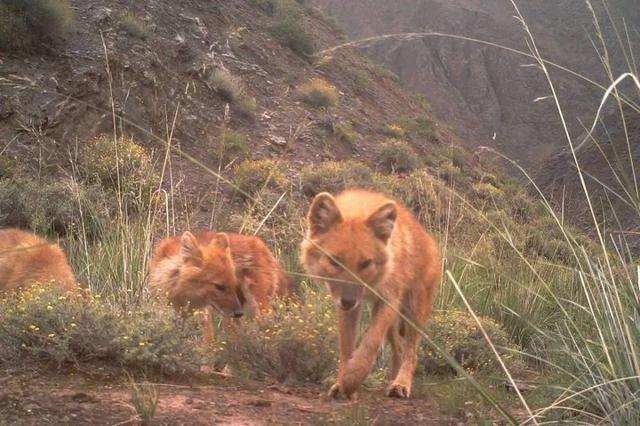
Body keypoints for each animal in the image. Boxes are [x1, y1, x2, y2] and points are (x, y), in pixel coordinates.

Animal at [150, 231, 292, 342]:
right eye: (219, 286)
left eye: (232, 285)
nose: (239, 313)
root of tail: (261, 244)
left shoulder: (204, 320)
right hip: (231, 318)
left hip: (258, 311)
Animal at [300, 190, 440, 400]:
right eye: (335, 261)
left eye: (365, 263)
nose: (348, 301)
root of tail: (429, 239)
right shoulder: (347, 307)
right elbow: (346, 346)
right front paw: (341, 383)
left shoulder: (388, 299)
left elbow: (370, 342)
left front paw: (353, 378)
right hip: (391, 321)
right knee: (399, 349)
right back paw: (391, 382)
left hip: (414, 310)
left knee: (411, 352)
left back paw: (400, 384)